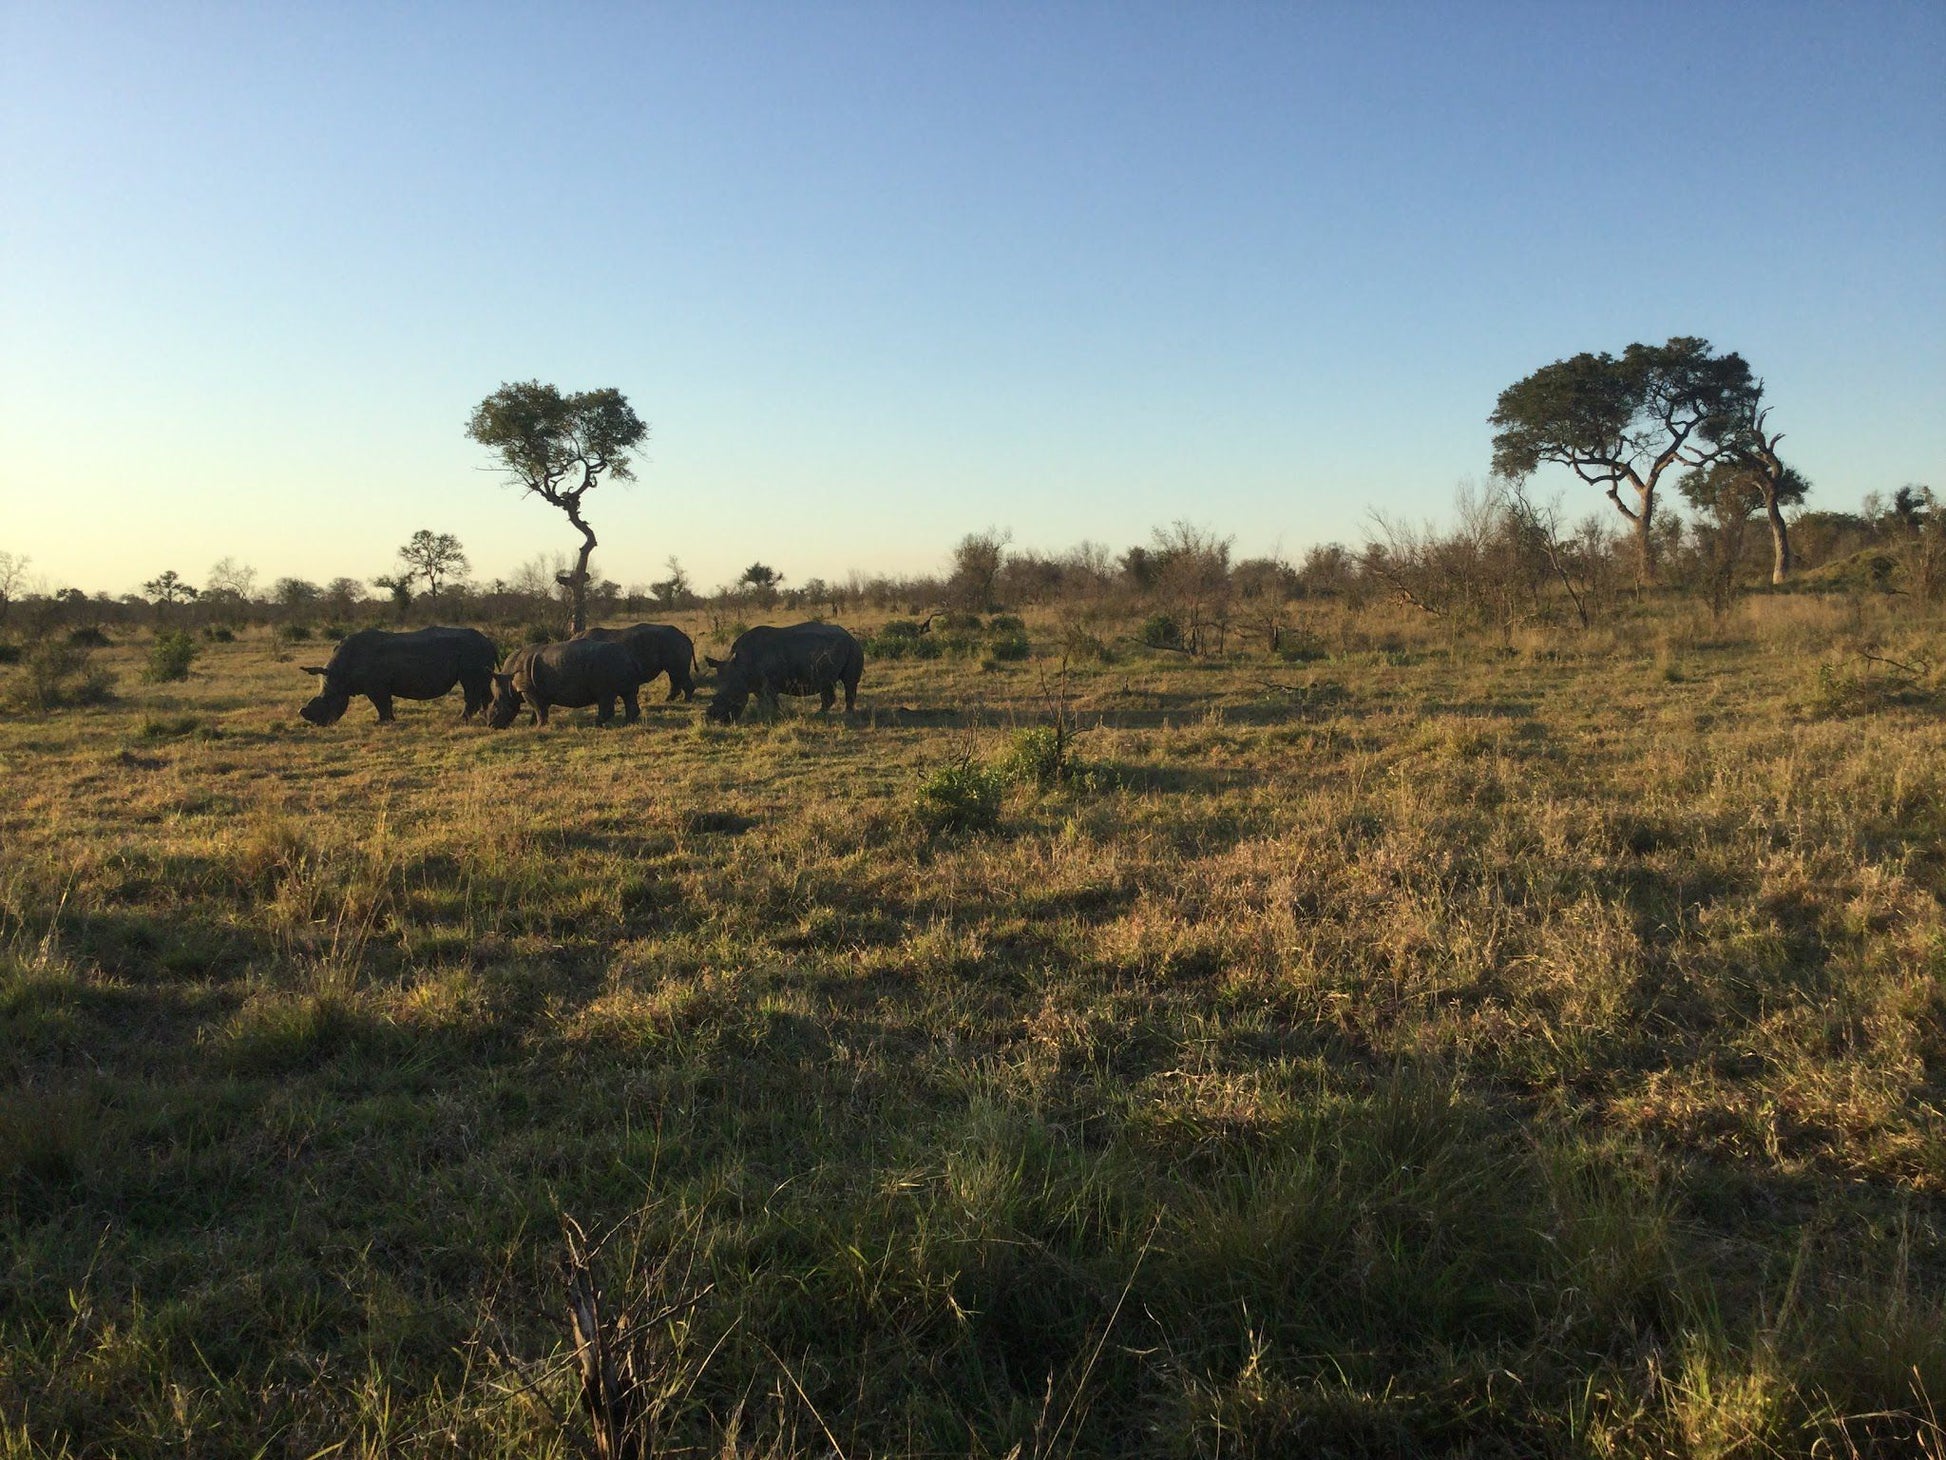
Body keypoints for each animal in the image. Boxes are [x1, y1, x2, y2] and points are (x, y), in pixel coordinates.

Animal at [295, 622, 498, 728]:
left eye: (327, 699)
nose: (319, 724)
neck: (340, 673)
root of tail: (489, 642)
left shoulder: (376, 686)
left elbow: (381, 704)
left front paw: (381, 723)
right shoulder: (379, 686)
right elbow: (385, 704)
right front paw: (388, 721)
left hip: (472, 652)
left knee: (471, 686)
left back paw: (461, 720)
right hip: (477, 653)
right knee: (482, 685)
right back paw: (485, 716)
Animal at [484, 638, 646, 731]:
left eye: (496, 706)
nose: (491, 726)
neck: (507, 681)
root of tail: (630, 656)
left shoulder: (528, 689)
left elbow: (539, 709)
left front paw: (539, 727)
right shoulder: (537, 690)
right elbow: (538, 710)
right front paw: (532, 725)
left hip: (606, 666)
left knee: (605, 696)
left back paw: (597, 725)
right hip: (618, 662)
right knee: (628, 694)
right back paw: (627, 723)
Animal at [568, 622, 696, 704]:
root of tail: (685, 637)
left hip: (673, 643)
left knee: (678, 673)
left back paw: (686, 701)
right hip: (673, 644)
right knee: (675, 674)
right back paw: (670, 699)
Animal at [696, 622, 856, 728]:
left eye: (732, 698)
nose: (719, 722)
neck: (740, 668)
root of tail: (848, 634)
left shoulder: (768, 685)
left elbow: (771, 701)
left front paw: (774, 716)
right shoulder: (758, 685)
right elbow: (765, 701)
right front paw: (768, 715)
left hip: (847, 647)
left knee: (844, 683)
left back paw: (834, 715)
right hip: (842, 649)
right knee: (835, 684)